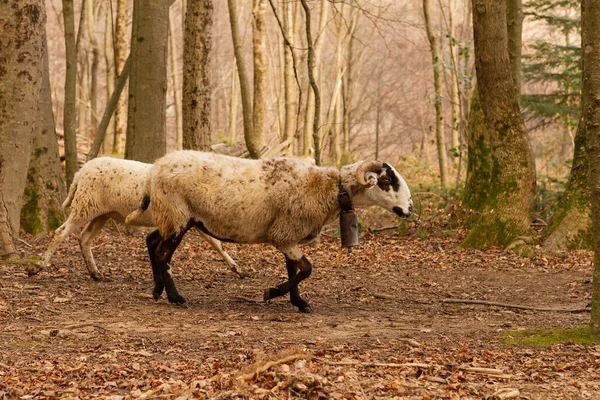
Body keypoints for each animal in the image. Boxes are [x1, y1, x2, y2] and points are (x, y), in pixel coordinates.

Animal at [28, 157, 246, 282]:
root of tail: (80, 172)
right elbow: (216, 243)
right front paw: (237, 268)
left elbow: (216, 243)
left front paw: (238, 270)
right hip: (85, 206)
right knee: (60, 233)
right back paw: (38, 267)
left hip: (101, 213)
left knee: (85, 238)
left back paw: (96, 273)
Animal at [127, 151, 412, 312]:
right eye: (387, 180)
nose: (409, 209)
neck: (329, 188)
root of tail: (154, 170)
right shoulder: (284, 233)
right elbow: (307, 269)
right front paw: (272, 293)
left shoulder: (289, 235)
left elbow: (294, 269)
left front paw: (299, 303)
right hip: (177, 214)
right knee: (162, 254)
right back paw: (176, 298)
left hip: (172, 217)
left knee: (152, 241)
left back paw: (157, 290)